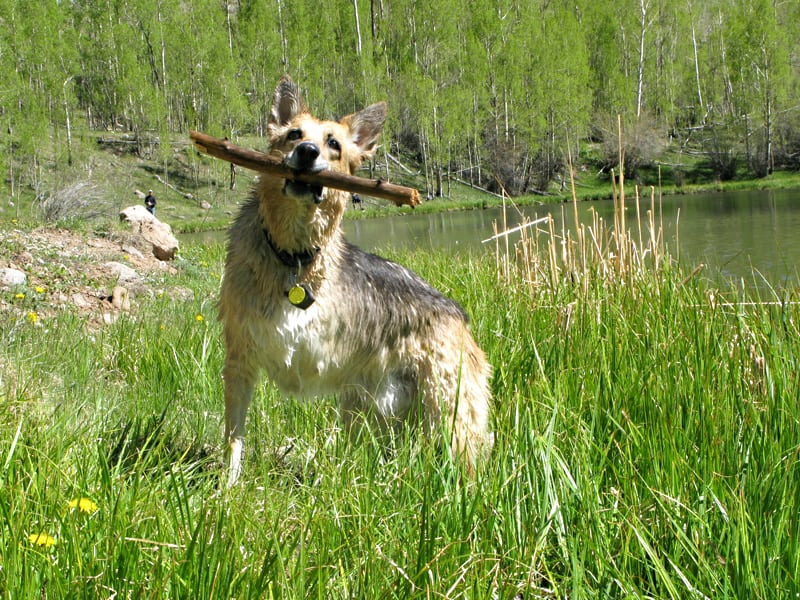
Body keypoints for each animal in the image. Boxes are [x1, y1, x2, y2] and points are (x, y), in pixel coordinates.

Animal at [220, 76, 494, 488]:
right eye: (293, 134)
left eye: (333, 144)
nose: (307, 152)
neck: (293, 256)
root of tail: (458, 315)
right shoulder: (239, 361)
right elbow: (234, 436)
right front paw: (227, 486)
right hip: (363, 410)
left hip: (449, 414)